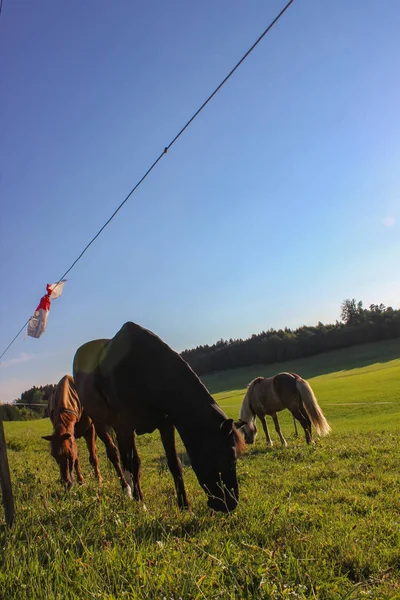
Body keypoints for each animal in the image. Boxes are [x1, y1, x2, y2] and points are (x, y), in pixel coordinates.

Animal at [73, 322, 245, 512]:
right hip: (100, 424)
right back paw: (127, 490)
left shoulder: (166, 425)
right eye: (229, 459)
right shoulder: (127, 427)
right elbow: (134, 464)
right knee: (115, 456)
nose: (230, 504)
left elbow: (174, 463)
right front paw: (141, 504)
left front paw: (185, 506)